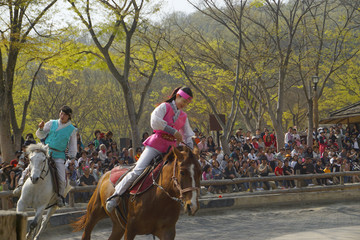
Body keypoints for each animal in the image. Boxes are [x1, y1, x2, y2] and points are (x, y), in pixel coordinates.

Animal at [73, 145, 202, 239]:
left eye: (200, 172)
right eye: (182, 172)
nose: (192, 206)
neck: (158, 199)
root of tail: (105, 174)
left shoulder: (167, 232)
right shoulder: (130, 229)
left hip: (118, 226)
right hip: (93, 214)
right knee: (87, 232)